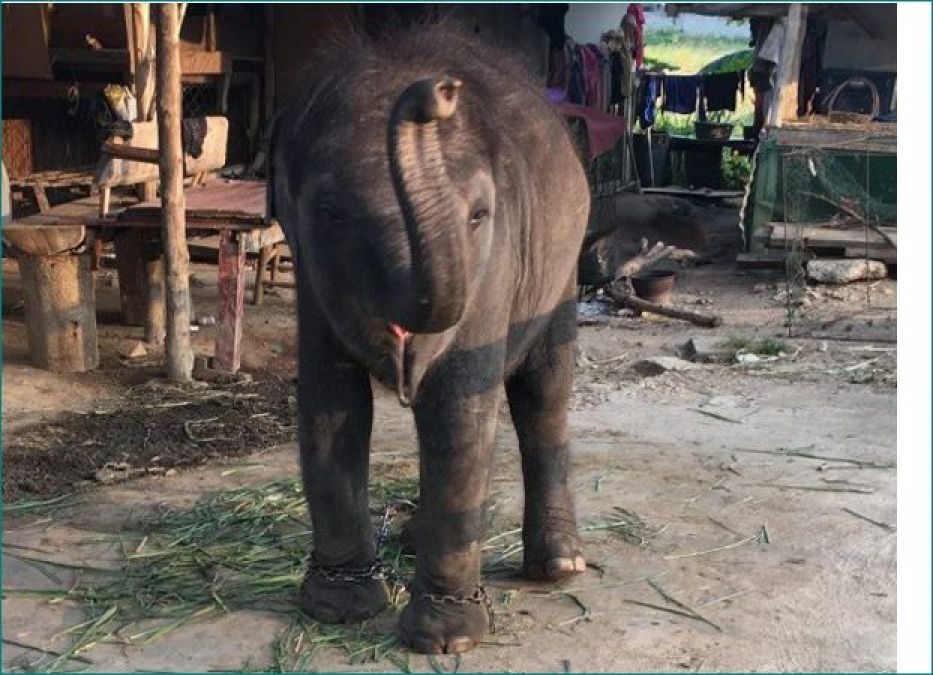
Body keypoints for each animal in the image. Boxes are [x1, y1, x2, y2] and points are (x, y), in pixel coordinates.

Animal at [272, 26, 588, 656]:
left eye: (479, 215)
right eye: (331, 213)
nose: (440, 92)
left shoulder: (495, 264)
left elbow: (455, 409)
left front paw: (445, 641)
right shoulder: (310, 275)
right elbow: (330, 405)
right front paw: (339, 609)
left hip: (561, 271)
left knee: (545, 393)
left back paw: (559, 567)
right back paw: (415, 539)